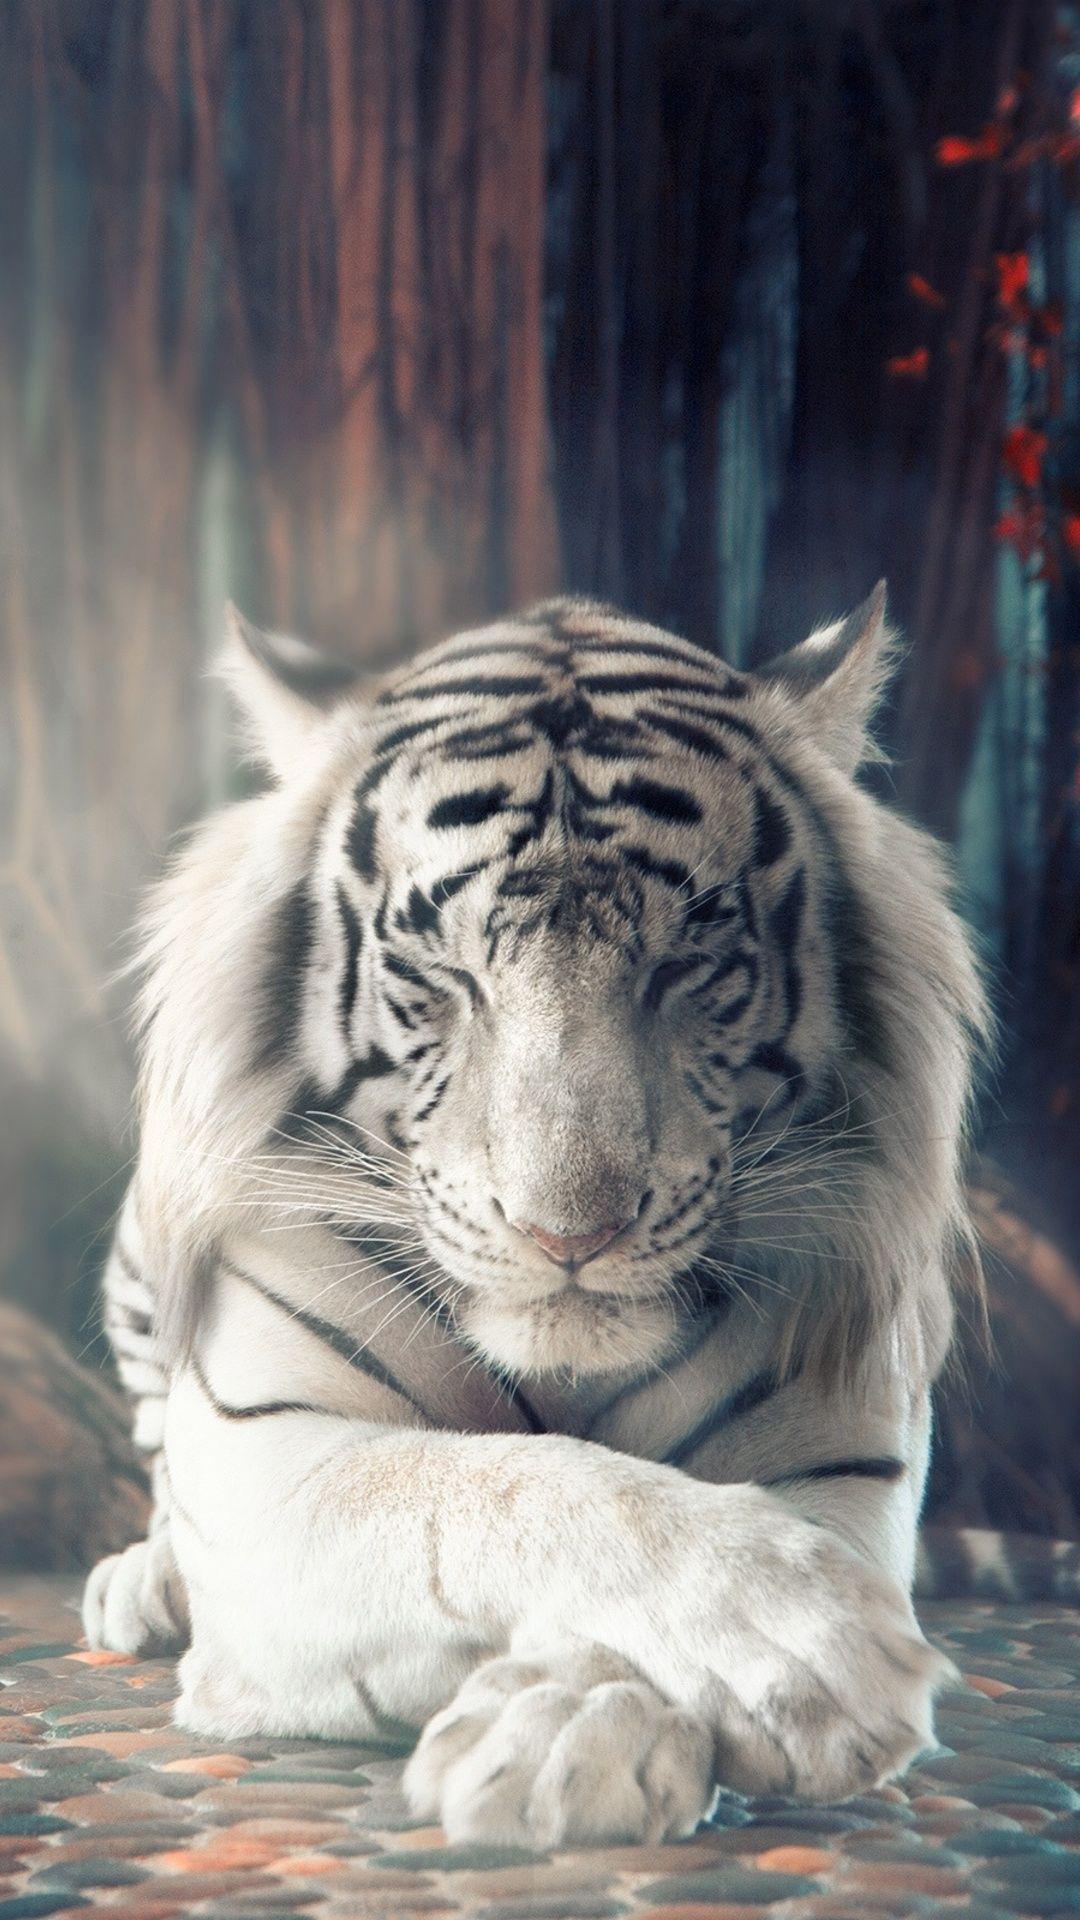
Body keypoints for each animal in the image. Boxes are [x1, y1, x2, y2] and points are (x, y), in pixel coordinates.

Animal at [84, 586, 992, 1849]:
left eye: (688, 962)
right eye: (440, 973)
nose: (569, 1235)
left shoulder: (841, 1456)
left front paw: (571, 1731)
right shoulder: (275, 1462)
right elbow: (509, 1486)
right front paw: (804, 1644)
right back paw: (143, 1579)